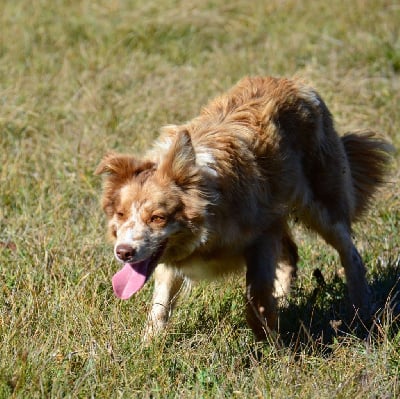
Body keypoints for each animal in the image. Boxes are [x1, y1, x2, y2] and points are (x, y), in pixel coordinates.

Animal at [95, 77, 392, 340]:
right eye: (120, 214)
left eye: (158, 217)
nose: (123, 252)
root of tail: (298, 84)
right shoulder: (169, 260)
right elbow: (160, 307)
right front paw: (148, 346)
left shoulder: (262, 234)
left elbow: (254, 295)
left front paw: (271, 345)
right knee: (291, 253)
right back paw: (284, 299)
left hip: (324, 204)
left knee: (350, 254)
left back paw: (362, 312)